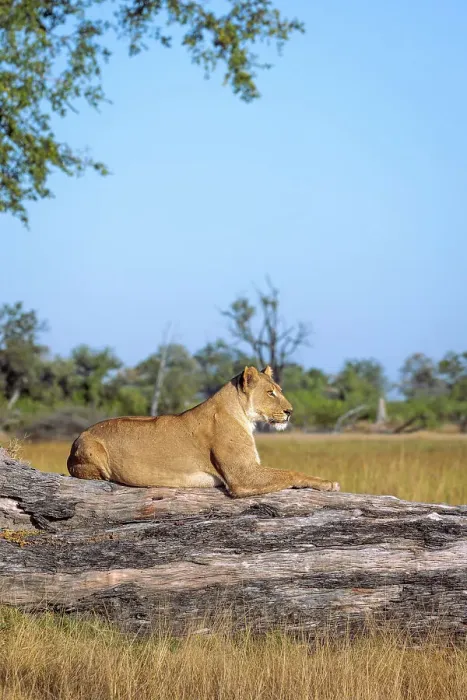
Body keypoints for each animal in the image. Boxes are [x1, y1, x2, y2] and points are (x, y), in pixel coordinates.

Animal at [67, 365, 340, 497]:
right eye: (270, 393)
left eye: (279, 390)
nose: (290, 411)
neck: (242, 414)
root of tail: (76, 438)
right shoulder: (242, 476)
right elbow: (290, 472)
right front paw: (328, 483)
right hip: (93, 449)